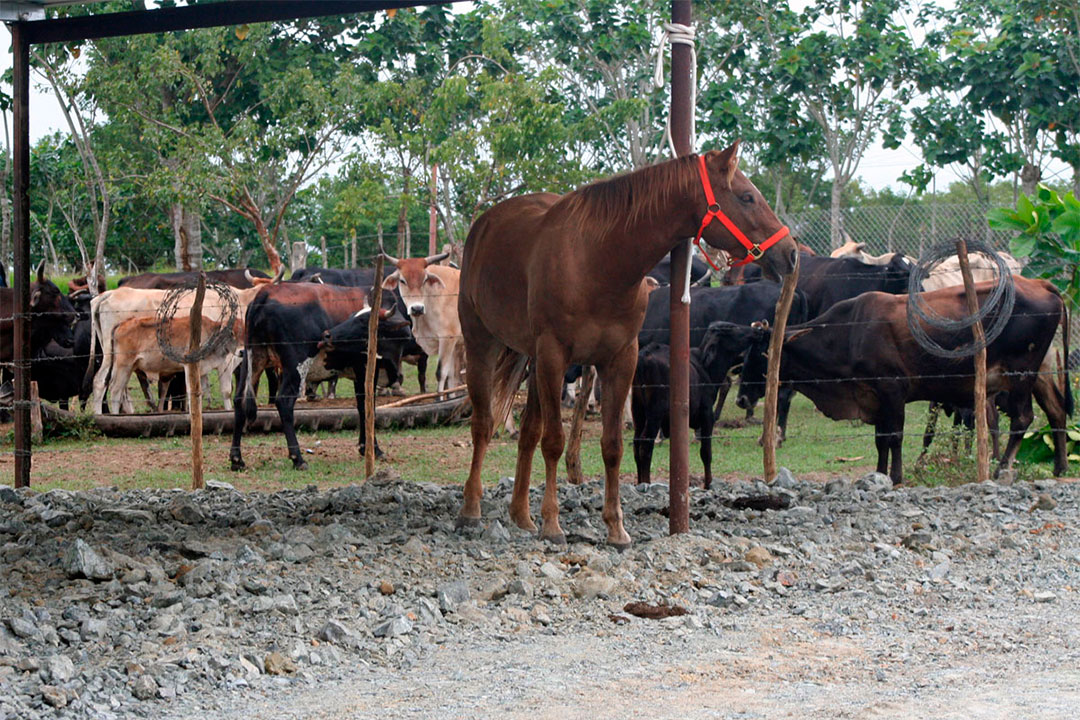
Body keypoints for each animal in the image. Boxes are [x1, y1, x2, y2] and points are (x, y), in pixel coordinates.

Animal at [457, 140, 803, 546]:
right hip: (485, 345)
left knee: (527, 431)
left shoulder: (621, 359)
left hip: (532, 359)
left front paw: (615, 527)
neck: (598, 261)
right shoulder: (556, 355)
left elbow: (613, 445)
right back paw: (471, 509)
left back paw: (522, 515)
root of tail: (485, 222)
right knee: (483, 424)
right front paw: (553, 523)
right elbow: (555, 441)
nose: (791, 253)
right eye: (747, 197)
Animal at [734, 276, 1071, 483]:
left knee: (1023, 418)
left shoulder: (892, 390)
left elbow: (894, 436)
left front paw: (895, 476)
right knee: (1056, 411)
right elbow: (880, 439)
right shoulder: (874, 397)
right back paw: (1061, 466)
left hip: (1020, 375)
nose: (741, 398)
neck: (850, 333)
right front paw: (879, 473)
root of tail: (1040, 283)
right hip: (1038, 374)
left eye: (761, 354)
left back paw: (1002, 469)